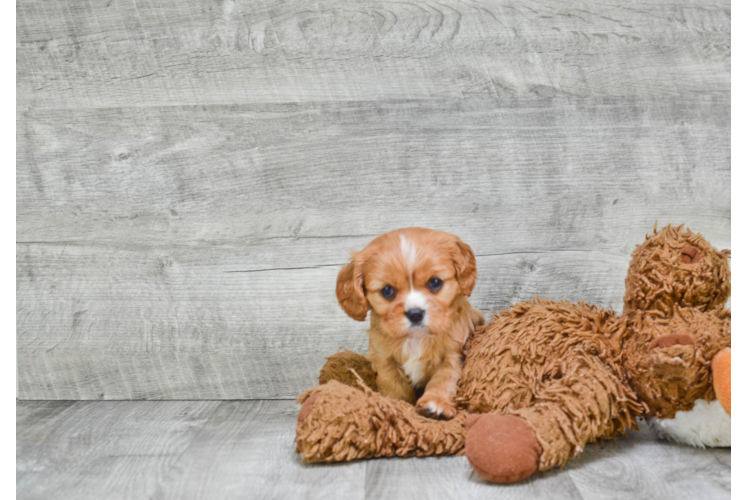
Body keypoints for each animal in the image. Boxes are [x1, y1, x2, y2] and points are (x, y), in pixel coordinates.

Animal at [334, 229, 486, 420]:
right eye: (387, 290)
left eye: (435, 282)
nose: (415, 313)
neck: (416, 339)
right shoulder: (384, 359)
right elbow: (394, 385)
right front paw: (396, 405)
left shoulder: (455, 352)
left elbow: (445, 378)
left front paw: (436, 403)